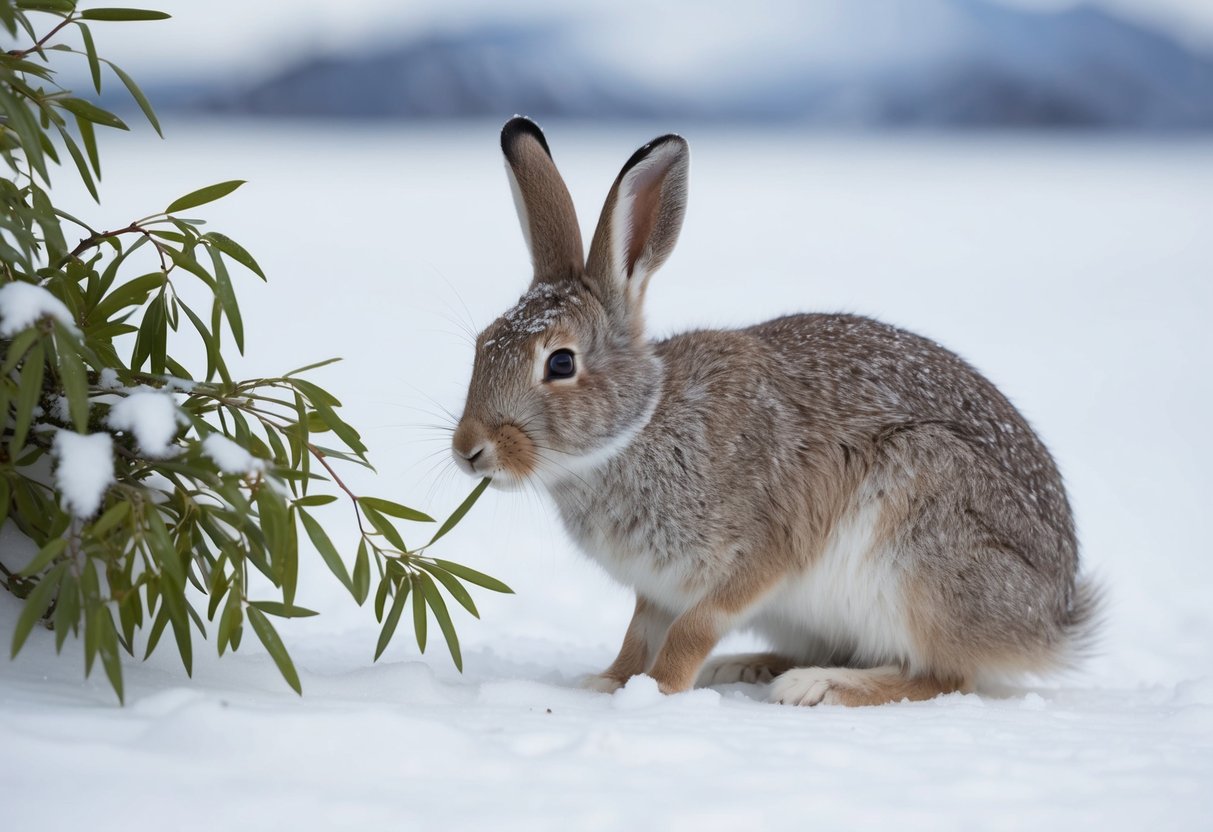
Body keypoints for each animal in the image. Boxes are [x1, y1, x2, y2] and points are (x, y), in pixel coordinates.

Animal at [451, 116, 1099, 706]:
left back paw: (815, 686)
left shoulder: (758, 552)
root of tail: (1051, 620)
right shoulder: (656, 588)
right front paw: (608, 682)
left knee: (943, 676)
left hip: (925, 548)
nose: (468, 451)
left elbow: (694, 627)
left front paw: (659, 690)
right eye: (483, 343)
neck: (638, 428)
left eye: (560, 363)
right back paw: (747, 666)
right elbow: (640, 632)